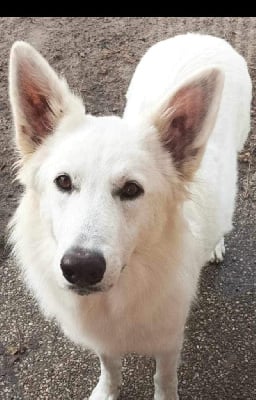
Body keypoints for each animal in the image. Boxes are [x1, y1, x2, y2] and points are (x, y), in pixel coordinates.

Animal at [9, 34, 251, 400]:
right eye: (63, 182)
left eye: (131, 189)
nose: (81, 268)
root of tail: (199, 36)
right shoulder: (105, 339)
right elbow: (110, 366)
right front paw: (107, 391)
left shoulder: (169, 342)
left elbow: (164, 379)